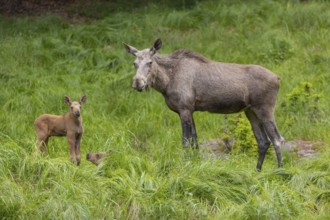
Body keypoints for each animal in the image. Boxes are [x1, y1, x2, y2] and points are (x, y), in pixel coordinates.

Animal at [124, 39, 284, 170]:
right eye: (134, 63)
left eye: (150, 62)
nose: (137, 83)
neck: (165, 83)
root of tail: (278, 78)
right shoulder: (190, 110)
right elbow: (195, 141)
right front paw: (196, 164)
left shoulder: (184, 109)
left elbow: (186, 142)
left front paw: (185, 165)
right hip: (251, 111)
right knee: (263, 141)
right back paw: (257, 170)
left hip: (266, 109)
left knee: (277, 139)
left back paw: (280, 171)